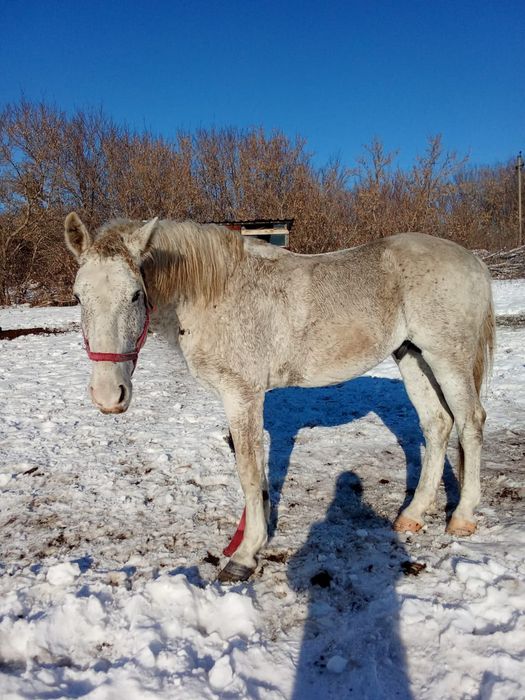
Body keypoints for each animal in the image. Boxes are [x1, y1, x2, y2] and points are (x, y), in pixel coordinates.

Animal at [64, 213, 495, 582]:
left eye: (136, 295)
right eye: (79, 296)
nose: (108, 395)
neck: (215, 292)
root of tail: (471, 260)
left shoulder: (242, 396)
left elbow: (249, 472)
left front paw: (243, 556)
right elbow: (257, 471)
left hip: (447, 357)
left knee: (470, 422)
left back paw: (461, 517)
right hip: (411, 355)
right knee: (436, 424)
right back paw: (412, 515)